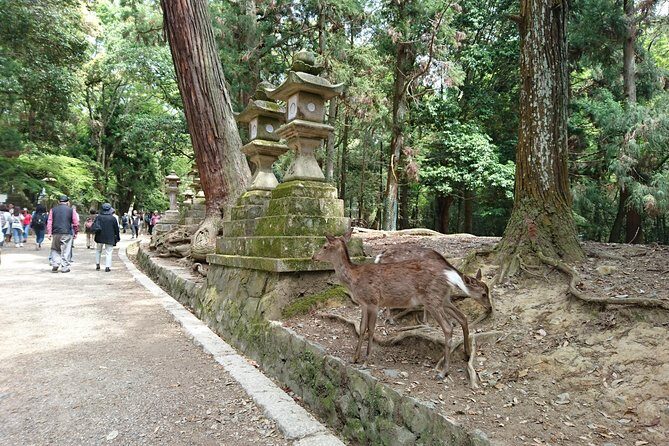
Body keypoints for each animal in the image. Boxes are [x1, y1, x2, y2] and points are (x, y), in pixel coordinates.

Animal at [312, 228, 473, 379]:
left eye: (325, 246)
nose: (313, 257)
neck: (353, 280)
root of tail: (451, 275)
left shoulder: (373, 301)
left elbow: (371, 329)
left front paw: (366, 361)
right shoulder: (363, 304)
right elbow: (362, 328)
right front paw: (354, 358)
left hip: (433, 300)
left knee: (448, 327)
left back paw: (443, 371)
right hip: (444, 298)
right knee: (462, 317)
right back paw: (467, 354)